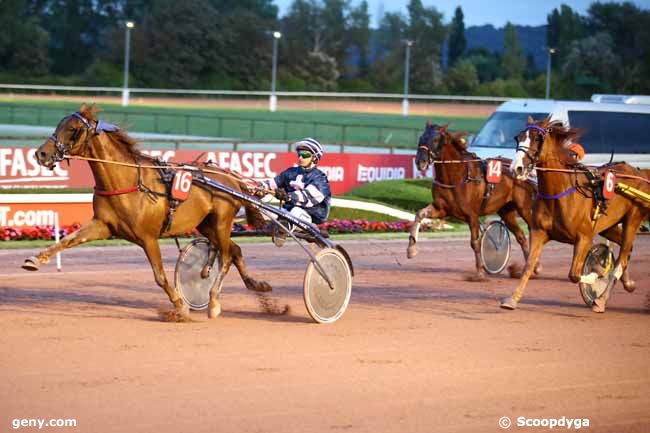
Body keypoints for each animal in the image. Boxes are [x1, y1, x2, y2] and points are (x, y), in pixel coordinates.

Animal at [22, 104, 270, 320]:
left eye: (73, 129)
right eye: (59, 124)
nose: (41, 154)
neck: (127, 181)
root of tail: (232, 179)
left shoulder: (148, 238)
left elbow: (160, 277)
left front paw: (180, 307)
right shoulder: (102, 225)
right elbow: (69, 239)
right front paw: (34, 260)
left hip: (221, 221)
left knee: (227, 257)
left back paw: (214, 302)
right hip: (206, 224)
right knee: (235, 250)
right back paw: (257, 285)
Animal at [404, 121, 536, 280]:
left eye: (435, 140)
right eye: (421, 138)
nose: (420, 162)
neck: (456, 177)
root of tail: (522, 170)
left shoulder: (472, 215)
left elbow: (475, 243)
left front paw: (480, 273)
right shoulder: (441, 209)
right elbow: (419, 214)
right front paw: (411, 249)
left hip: (523, 208)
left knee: (533, 229)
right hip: (506, 211)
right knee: (521, 236)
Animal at [498, 115, 644, 310]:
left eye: (537, 138)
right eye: (518, 138)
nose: (517, 168)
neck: (558, 194)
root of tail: (638, 172)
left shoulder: (584, 237)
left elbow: (574, 274)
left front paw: (595, 275)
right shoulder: (539, 232)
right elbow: (528, 265)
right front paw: (513, 298)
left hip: (633, 219)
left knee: (623, 254)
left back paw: (601, 300)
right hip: (609, 226)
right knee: (625, 250)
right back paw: (628, 283)